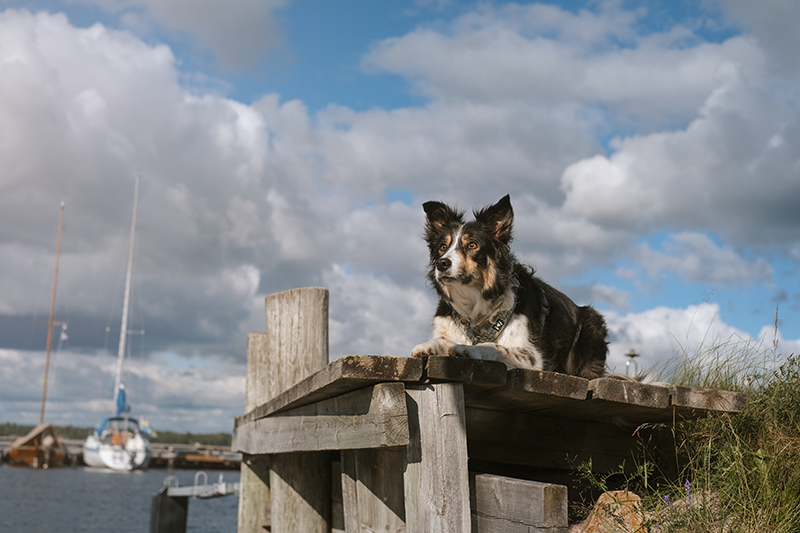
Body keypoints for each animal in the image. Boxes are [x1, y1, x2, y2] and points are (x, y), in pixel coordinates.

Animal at [412, 195, 608, 378]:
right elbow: (441, 340)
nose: (442, 264)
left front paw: (469, 349)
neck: (473, 303)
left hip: (592, 319)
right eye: (442, 247)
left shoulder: (533, 356)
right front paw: (425, 346)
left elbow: (493, 346)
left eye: (472, 245)